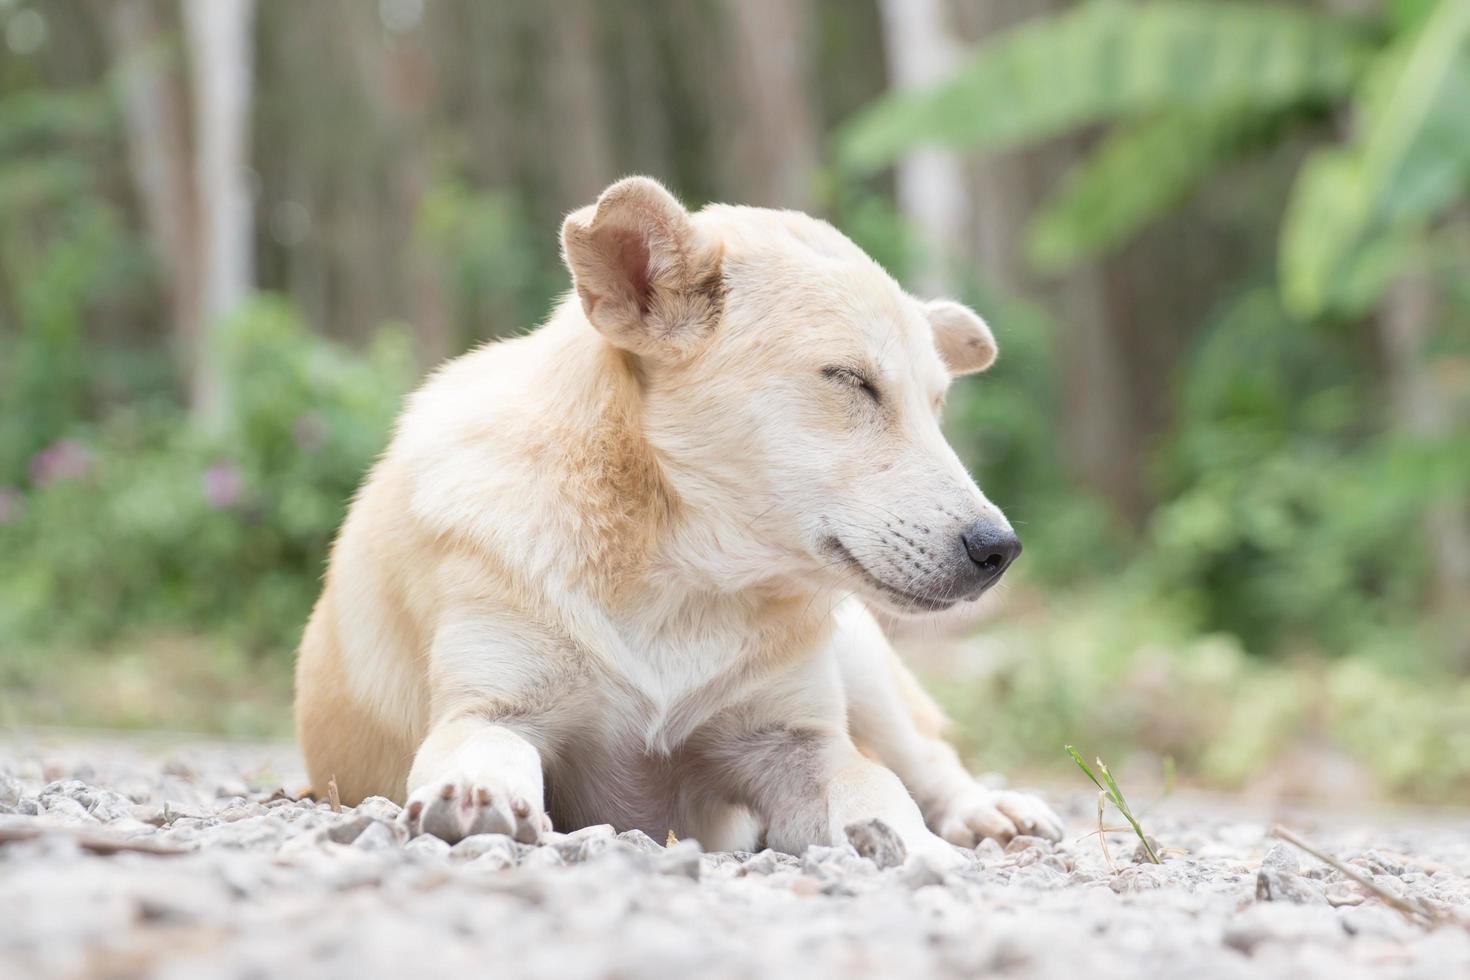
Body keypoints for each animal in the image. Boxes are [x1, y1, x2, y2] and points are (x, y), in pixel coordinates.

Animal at [295, 178, 1058, 863]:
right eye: (850, 381)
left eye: (937, 406)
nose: (1000, 549)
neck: (677, 582)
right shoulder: (490, 710)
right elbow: (487, 747)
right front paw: (478, 791)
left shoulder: (795, 742)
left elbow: (876, 785)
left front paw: (913, 842)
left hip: (861, 658)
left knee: (924, 757)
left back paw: (986, 811)